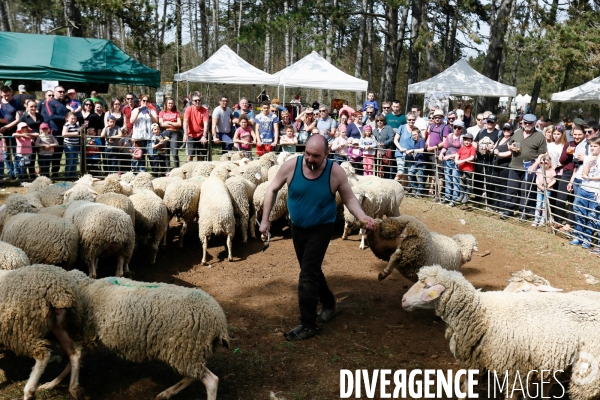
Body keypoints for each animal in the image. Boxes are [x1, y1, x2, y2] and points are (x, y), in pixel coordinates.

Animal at [43, 268, 229, 400]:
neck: (86, 290)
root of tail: (219, 320)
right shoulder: (89, 337)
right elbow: (74, 360)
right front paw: (50, 384)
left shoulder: (87, 334)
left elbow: (73, 359)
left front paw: (61, 385)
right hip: (190, 352)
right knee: (192, 376)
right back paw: (166, 393)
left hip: (186, 349)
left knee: (211, 381)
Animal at [400, 266, 600, 400]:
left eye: (427, 286)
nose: (403, 300)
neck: (482, 314)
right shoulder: (475, 359)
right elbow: (465, 390)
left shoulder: (516, 369)